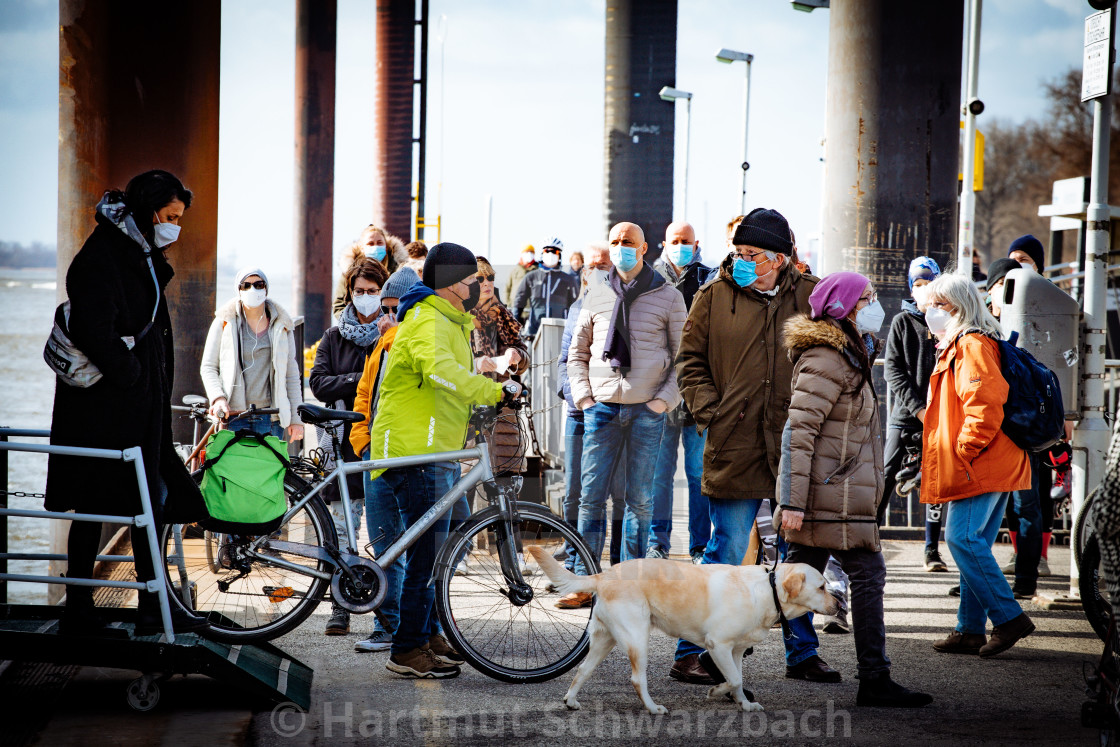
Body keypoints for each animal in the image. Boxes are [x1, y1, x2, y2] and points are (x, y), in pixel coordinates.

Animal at [528, 548, 837, 716]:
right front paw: (716, 691)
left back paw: (570, 701)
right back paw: (653, 708)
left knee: (582, 670)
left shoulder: (736, 650)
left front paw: (744, 705)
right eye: (822, 586)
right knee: (637, 679)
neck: (767, 590)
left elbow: (737, 679)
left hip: (605, 640)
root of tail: (604, 575)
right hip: (637, 638)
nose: (839, 603)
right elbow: (734, 679)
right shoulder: (718, 645)